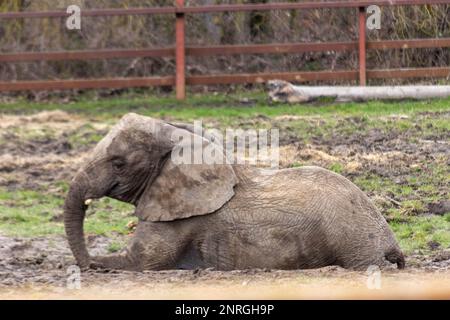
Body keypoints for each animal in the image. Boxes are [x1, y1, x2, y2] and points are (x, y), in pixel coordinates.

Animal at [63, 112, 404, 270]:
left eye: (118, 163)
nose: (84, 263)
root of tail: (389, 239)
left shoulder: (178, 218)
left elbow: (140, 262)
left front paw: (94, 265)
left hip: (354, 242)